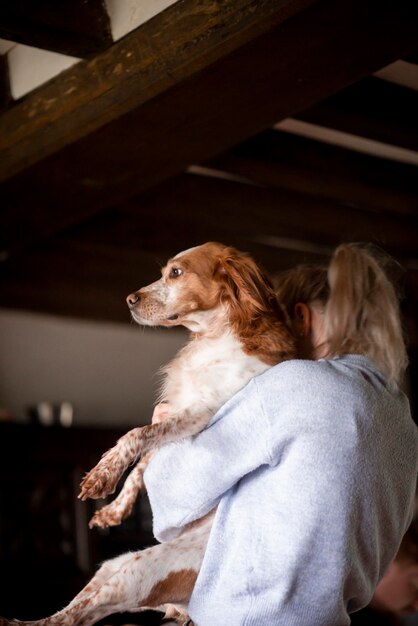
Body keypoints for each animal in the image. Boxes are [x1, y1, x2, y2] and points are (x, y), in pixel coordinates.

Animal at [2, 243, 298, 624]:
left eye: (176, 272)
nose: (129, 299)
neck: (215, 337)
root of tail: (183, 607)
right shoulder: (174, 414)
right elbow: (142, 464)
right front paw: (114, 508)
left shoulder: (200, 413)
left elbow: (136, 435)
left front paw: (102, 476)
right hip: (114, 565)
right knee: (79, 608)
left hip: (138, 572)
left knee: (72, 617)